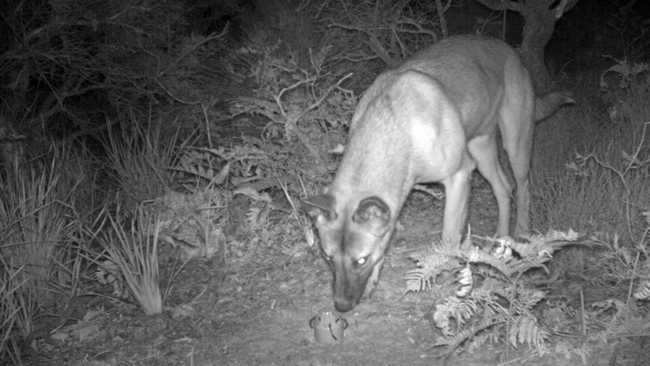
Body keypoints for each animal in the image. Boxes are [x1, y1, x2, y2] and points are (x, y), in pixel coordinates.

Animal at [304, 35, 572, 314]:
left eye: (361, 260)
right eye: (328, 257)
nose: (341, 306)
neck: (397, 125)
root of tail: (510, 50)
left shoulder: (459, 176)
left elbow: (448, 237)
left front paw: (445, 277)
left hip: (515, 143)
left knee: (522, 187)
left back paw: (522, 233)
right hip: (482, 148)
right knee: (503, 188)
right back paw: (501, 239)